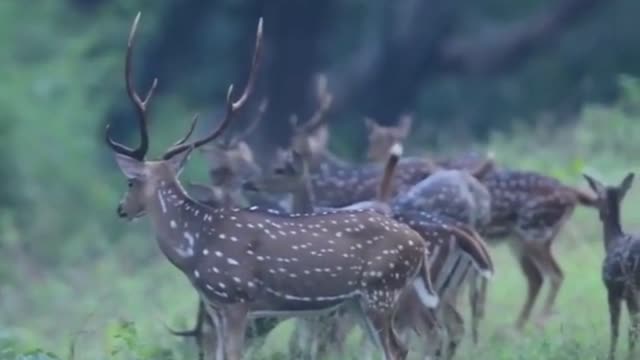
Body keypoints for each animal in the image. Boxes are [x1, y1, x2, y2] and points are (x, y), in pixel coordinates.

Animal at [110, 11, 440, 360]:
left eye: (131, 181)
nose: (121, 209)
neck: (194, 249)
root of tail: (418, 244)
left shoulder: (237, 298)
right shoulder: (217, 307)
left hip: (382, 288)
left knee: (399, 346)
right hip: (357, 302)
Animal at [584, 173, 640, 358]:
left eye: (597, 199)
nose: (600, 214)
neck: (612, 240)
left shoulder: (614, 290)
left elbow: (617, 331)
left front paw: (612, 356)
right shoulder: (629, 295)